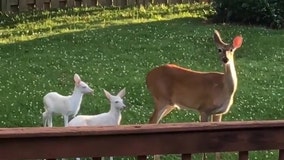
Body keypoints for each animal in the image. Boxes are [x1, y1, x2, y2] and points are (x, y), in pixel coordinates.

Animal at [146, 29, 242, 159]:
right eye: (219, 49)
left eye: (231, 49)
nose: (225, 59)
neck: (224, 89)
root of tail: (148, 77)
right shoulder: (204, 109)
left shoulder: (219, 113)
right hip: (161, 98)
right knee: (152, 121)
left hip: (170, 104)